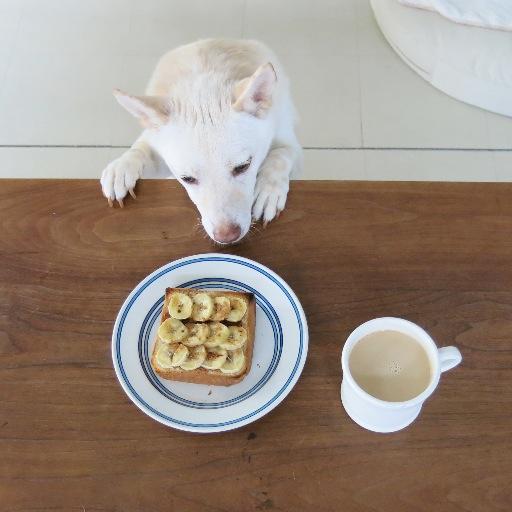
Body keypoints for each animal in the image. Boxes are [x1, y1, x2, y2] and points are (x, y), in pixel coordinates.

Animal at [99, 39, 300, 243]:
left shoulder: (290, 143)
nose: (227, 236)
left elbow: (280, 156)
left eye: (243, 166)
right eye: (187, 179)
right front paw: (122, 167)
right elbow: (139, 149)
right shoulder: (156, 146)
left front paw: (269, 190)